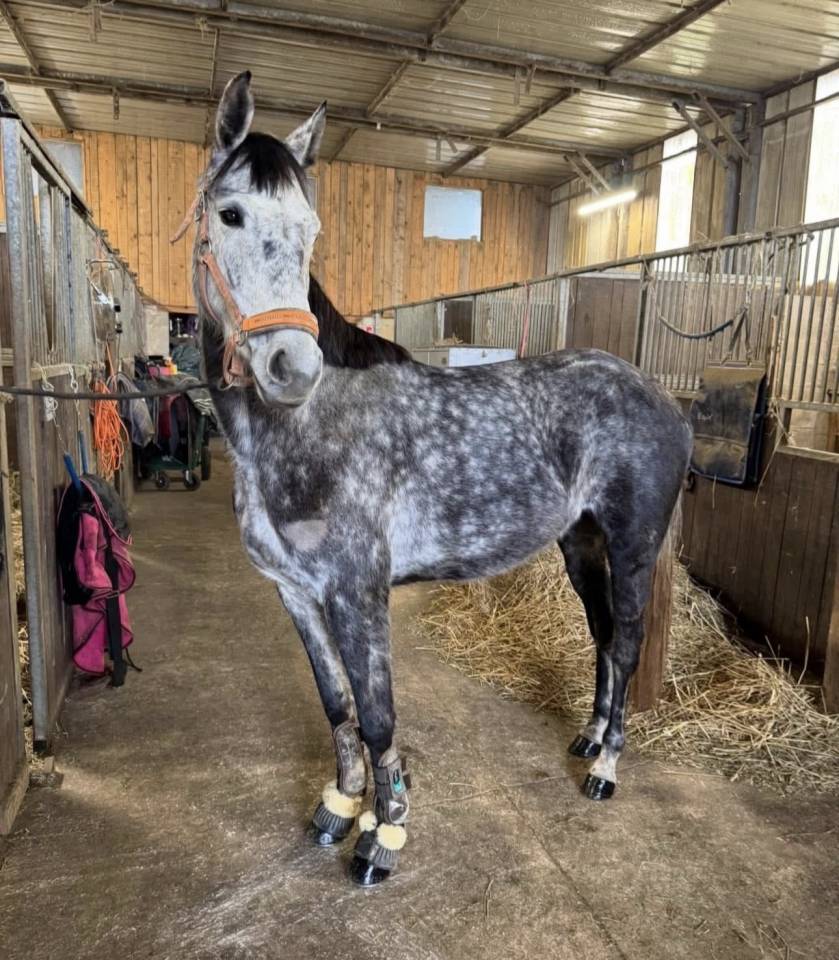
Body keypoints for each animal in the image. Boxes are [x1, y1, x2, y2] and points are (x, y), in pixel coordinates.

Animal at [186, 71, 693, 887]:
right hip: (580, 543)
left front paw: (383, 835)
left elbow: (377, 712)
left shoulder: (357, 591)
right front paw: (339, 808)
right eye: (228, 215)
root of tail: (660, 396)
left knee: (626, 641)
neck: (306, 428)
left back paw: (605, 769)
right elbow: (337, 704)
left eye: (311, 229)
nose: (292, 367)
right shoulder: (294, 593)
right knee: (601, 632)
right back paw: (586, 739)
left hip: (633, 543)